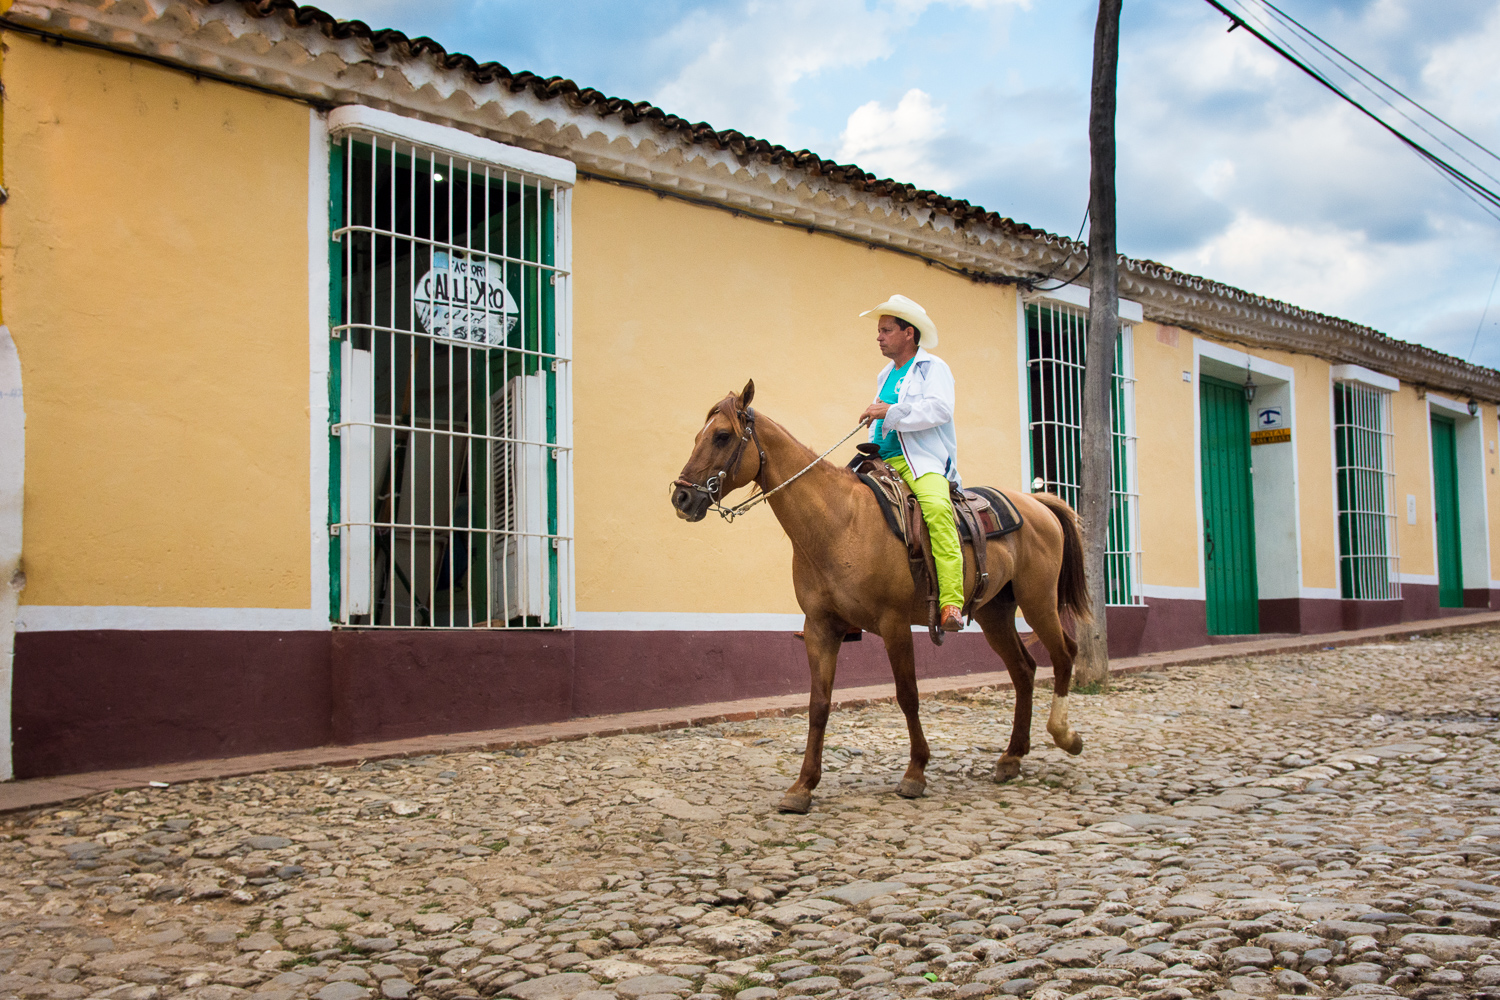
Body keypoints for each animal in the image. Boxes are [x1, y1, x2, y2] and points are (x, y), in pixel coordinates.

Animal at [672, 380, 1092, 815]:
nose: (681, 498)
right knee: (1023, 670)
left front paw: (916, 772)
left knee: (1064, 655)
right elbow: (818, 705)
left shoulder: (894, 625)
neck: (839, 523)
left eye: (722, 436)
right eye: (699, 436)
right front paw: (803, 786)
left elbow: (908, 695)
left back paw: (1065, 735)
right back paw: (1012, 757)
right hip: (995, 613)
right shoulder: (820, 628)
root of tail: (1036, 503)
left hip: (1038, 601)